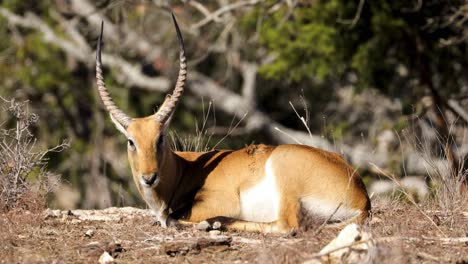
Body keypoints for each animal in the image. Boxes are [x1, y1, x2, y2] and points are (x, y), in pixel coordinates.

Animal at [95, 14, 372, 233]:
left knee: (287, 226)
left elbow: (173, 217)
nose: (149, 177)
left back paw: (213, 223)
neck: (185, 170)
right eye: (131, 141)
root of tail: (362, 198)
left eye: (160, 137)